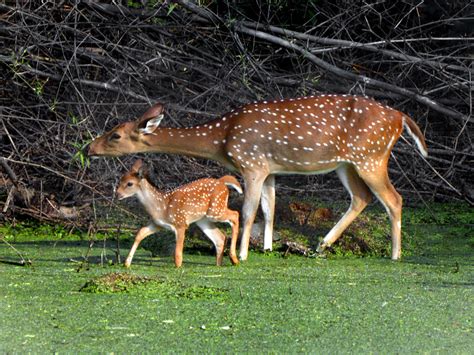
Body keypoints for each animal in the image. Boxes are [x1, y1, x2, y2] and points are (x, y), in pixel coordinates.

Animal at [88, 94, 426, 262]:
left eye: (115, 135)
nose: (89, 148)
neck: (222, 139)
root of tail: (401, 118)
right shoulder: (270, 168)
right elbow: (269, 208)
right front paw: (265, 248)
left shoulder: (251, 164)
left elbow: (249, 210)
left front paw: (242, 254)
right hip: (347, 162)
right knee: (361, 197)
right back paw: (321, 246)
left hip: (371, 156)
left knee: (394, 199)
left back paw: (395, 255)